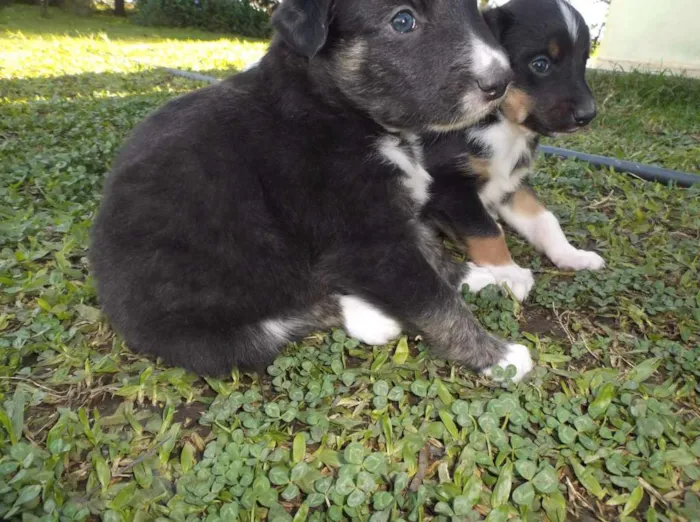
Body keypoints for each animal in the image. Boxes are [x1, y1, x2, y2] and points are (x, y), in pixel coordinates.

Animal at [90, 1, 532, 382]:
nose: (501, 83)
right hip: (200, 326)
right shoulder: (367, 242)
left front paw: (478, 275)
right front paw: (499, 357)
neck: (333, 106)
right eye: (403, 21)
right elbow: (434, 301)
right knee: (275, 324)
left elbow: (430, 250)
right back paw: (371, 318)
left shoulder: (393, 215)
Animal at [422, 0, 608, 300]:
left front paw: (572, 255)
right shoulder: (451, 186)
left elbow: (546, 220)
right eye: (540, 64)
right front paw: (509, 272)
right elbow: (485, 232)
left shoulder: (512, 183)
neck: (502, 125)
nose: (587, 115)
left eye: (583, 63)